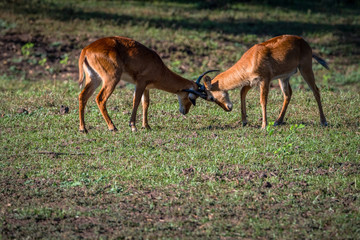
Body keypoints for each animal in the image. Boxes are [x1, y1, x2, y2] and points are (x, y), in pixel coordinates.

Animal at [77, 37, 210, 133]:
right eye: (192, 98)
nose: (185, 111)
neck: (159, 67)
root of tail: (86, 49)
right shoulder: (141, 83)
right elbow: (136, 101)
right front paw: (133, 126)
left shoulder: (146, 87)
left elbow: (145, 103)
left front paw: (146, 126)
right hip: (111, 79)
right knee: (100, 99)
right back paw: (112, 127)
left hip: (94, 79)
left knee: (82, 96)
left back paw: (83, 129)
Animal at [198, 34, 330, 128]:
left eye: (211, 98)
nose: (227, 108)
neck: (251, 59)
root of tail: (304, 42)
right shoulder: (252, 82)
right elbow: (242, 93)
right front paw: (244, 121)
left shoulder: (265, 80)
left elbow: (263, 101)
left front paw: (264, 125)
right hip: (284, 78)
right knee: (288, 95)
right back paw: (278, 121)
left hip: (305, 69)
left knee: (316, 90)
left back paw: (323, 121)